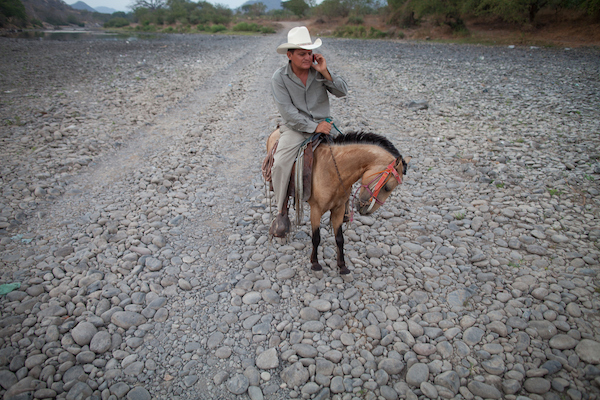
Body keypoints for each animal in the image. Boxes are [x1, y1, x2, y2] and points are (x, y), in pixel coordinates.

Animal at [264, 130, 410, 276]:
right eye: (387, 187)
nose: (366, 210)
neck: (332, 169)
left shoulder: (338, 210)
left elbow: (340, 238)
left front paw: (342, 265)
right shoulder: (316, 210)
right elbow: (316, 237)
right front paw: (315, 263)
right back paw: (281, 229)